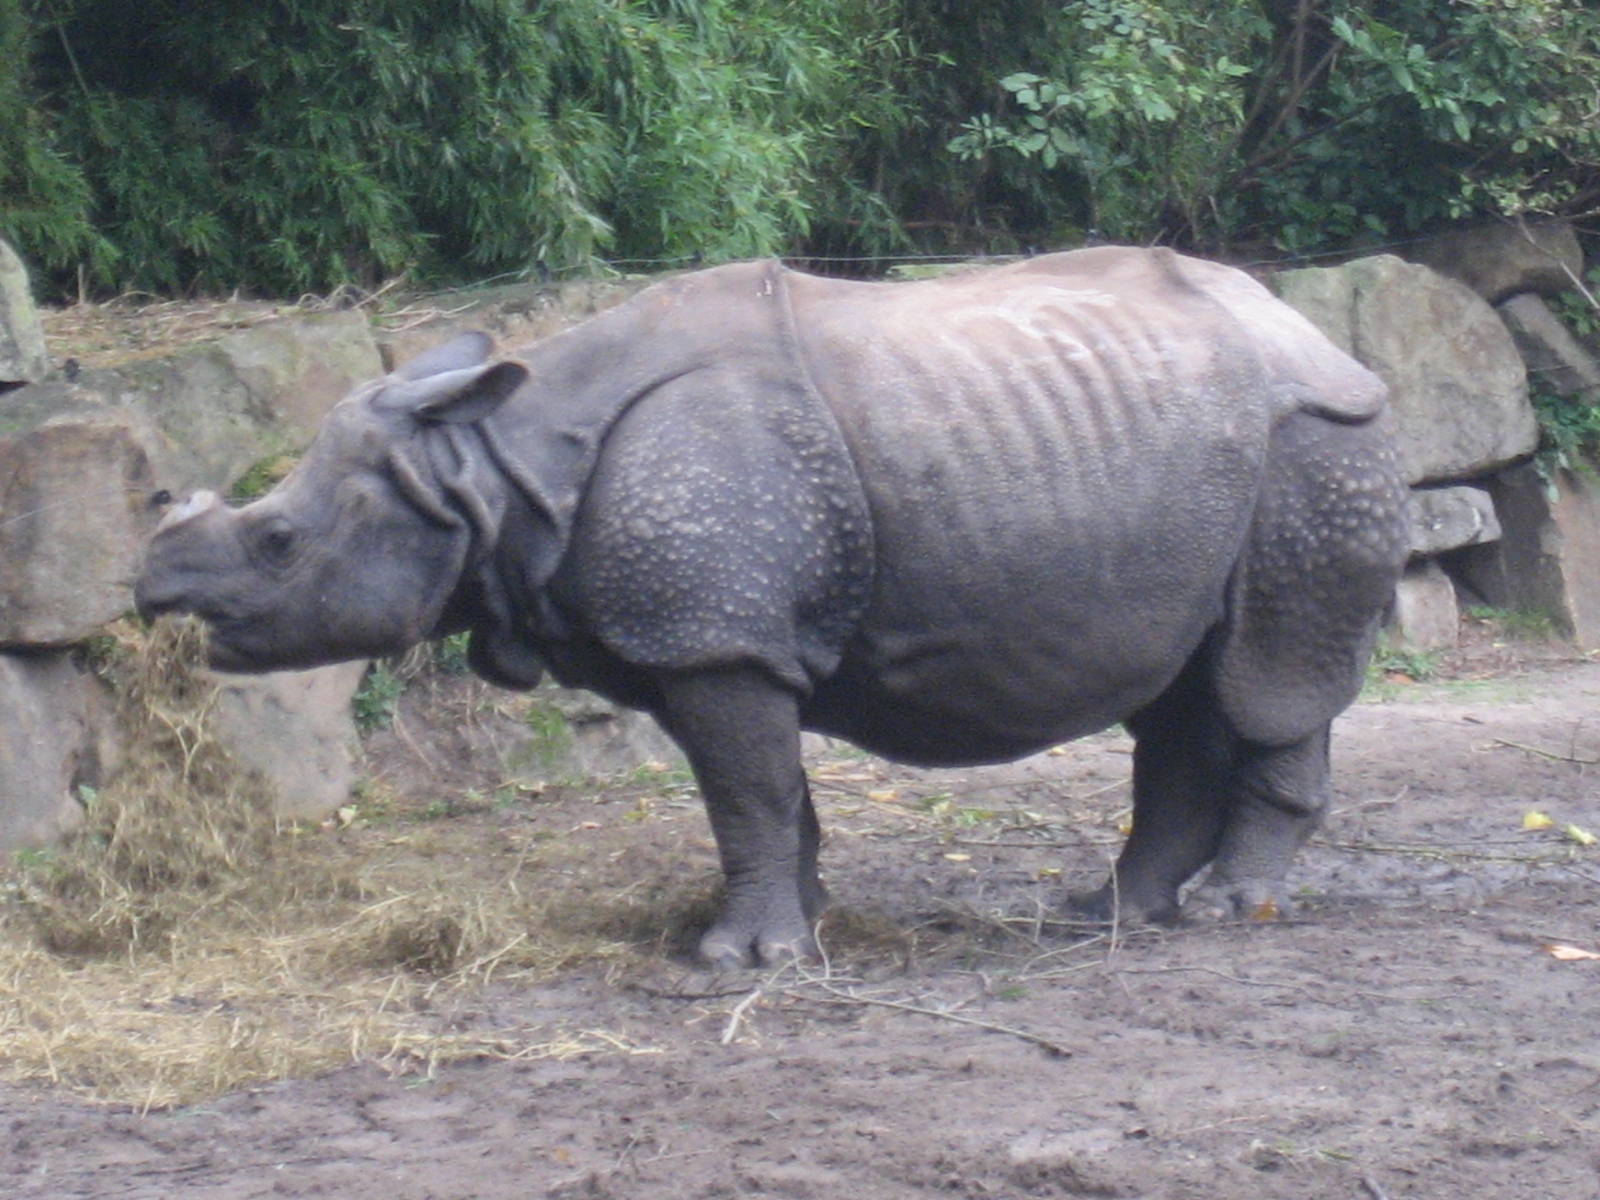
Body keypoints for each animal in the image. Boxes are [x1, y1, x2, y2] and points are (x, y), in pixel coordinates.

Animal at [136, 247, 1409, 967]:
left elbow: (742, 787)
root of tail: (1323, 337)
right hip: (1202, 460)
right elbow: (768, 794)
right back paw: (1107, 917)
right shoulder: (711, 636)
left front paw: (735, 964)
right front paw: (789, 927)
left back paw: (1233, 914)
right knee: (1181, 685)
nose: (151, 591)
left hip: (1314, 443)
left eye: (278, 542)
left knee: (1272, 673)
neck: (487, 467)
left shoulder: (715, 636)